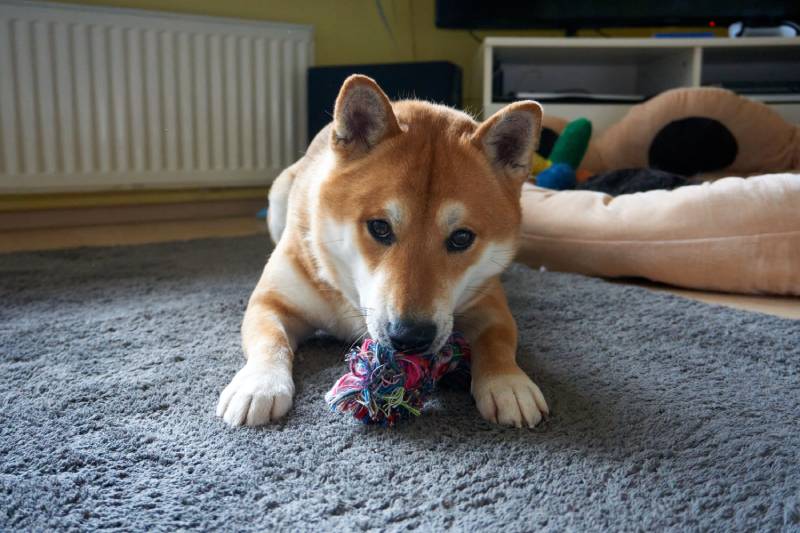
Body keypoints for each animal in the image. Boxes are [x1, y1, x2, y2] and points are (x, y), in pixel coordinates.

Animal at [216, 75, 548, 426]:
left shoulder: (488, 302)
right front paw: (259, 384)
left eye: (461, 238)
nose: (410, 337)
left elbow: (498, 340)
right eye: (379, 227)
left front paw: (509, 383)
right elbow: (271, 340)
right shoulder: (271, 301)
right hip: (279, 195)